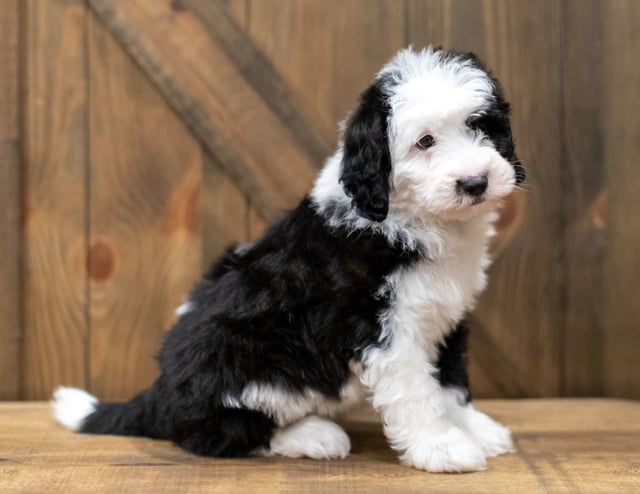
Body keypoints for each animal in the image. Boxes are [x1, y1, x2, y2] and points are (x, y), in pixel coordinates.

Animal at [53, 47, 524, 474]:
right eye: (425, 141)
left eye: (481, 126)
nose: (475, 182)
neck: (417, 218)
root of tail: (159, 393)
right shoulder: (383, 327)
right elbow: (417, 392)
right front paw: (443, 448)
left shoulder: (445, 314)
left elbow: (449, 382)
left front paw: (473, 429)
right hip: (246, 359)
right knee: (221, 434)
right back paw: (313, 435)